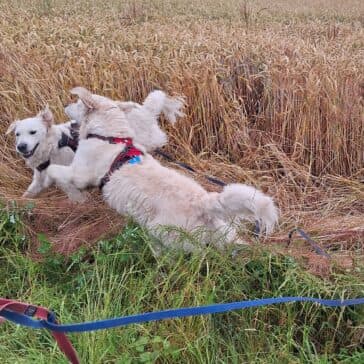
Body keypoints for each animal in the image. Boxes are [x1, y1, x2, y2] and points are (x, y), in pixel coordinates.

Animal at [46, 87, 278, 250]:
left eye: (77, 102)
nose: (64, 104)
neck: (109, 136)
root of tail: (204, 203)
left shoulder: (80, 174)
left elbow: (53, 170)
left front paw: (68, 193)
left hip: (164, 235)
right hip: (223, 233)